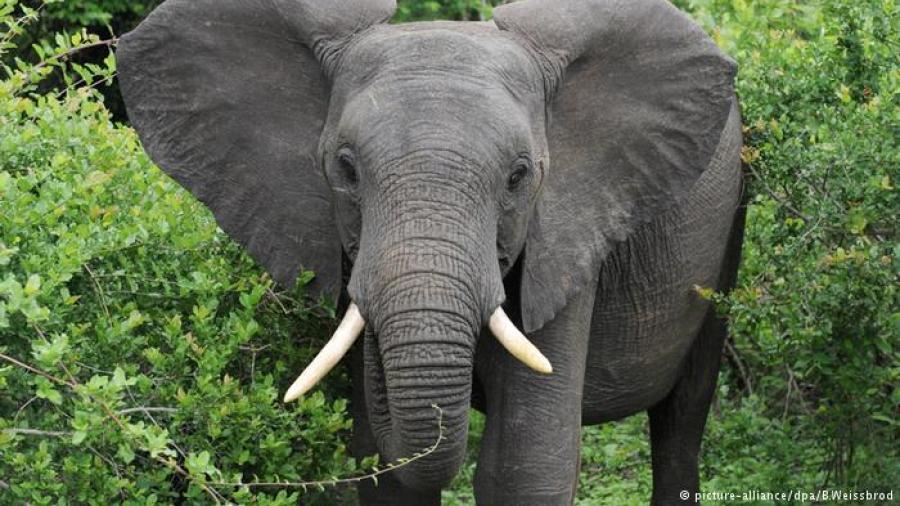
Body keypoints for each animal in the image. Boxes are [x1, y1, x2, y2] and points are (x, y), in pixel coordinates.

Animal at [116, 0, 745, 504]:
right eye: (346, 169)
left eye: (519, 176)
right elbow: (385, 473)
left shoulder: (567, 234)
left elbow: (523, 469)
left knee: (681, 423)